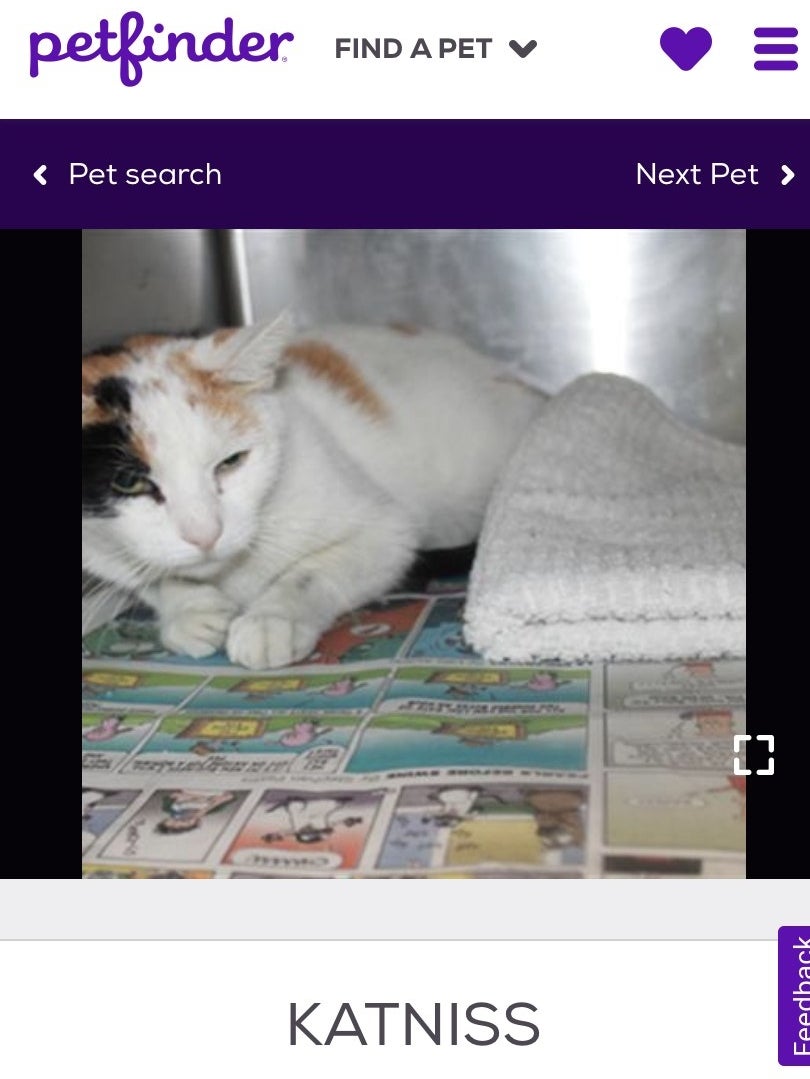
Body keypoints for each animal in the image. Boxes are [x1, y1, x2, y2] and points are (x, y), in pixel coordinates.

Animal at [80, 315, 545, 664]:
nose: (205, 535)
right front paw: (190, 611)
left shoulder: (385, 531)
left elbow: (311, 571)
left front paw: (272, 621)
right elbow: (149, 579)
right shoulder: (100, 556)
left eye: (231, 462)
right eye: (129, 481)